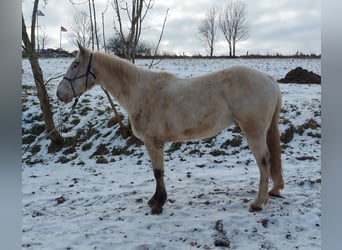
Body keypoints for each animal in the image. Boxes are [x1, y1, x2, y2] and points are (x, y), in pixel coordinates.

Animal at [57, 44, 284, 214]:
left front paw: (158, 204)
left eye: (75, 64)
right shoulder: (157, 143)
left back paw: (258, 202)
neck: (140, 91)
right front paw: (155, 200)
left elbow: (157, 172)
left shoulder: (152, 142)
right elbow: (159, 171)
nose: (60, 94)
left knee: (264, 161)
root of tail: (268, 79)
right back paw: (273, 191)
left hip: (253, 131)